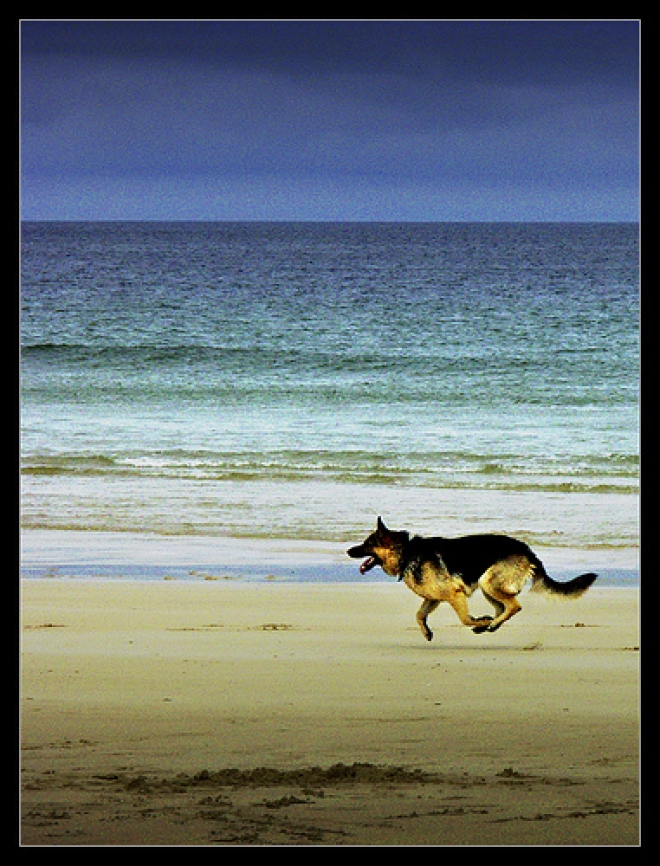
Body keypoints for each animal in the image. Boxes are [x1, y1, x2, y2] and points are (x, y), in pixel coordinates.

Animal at [348, 516, 596, 636]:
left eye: (367, 544)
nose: (348, 551)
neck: (406, 553)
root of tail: (528, 552)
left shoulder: (454, 594)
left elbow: (464, 618)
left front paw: (478, 620)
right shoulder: (433, 599)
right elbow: (419, 616)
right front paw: (426, 632)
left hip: (488, 582)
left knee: (513, 606)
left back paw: (488, 624)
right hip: (487, 586)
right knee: (503, 608)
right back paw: (490, 625)